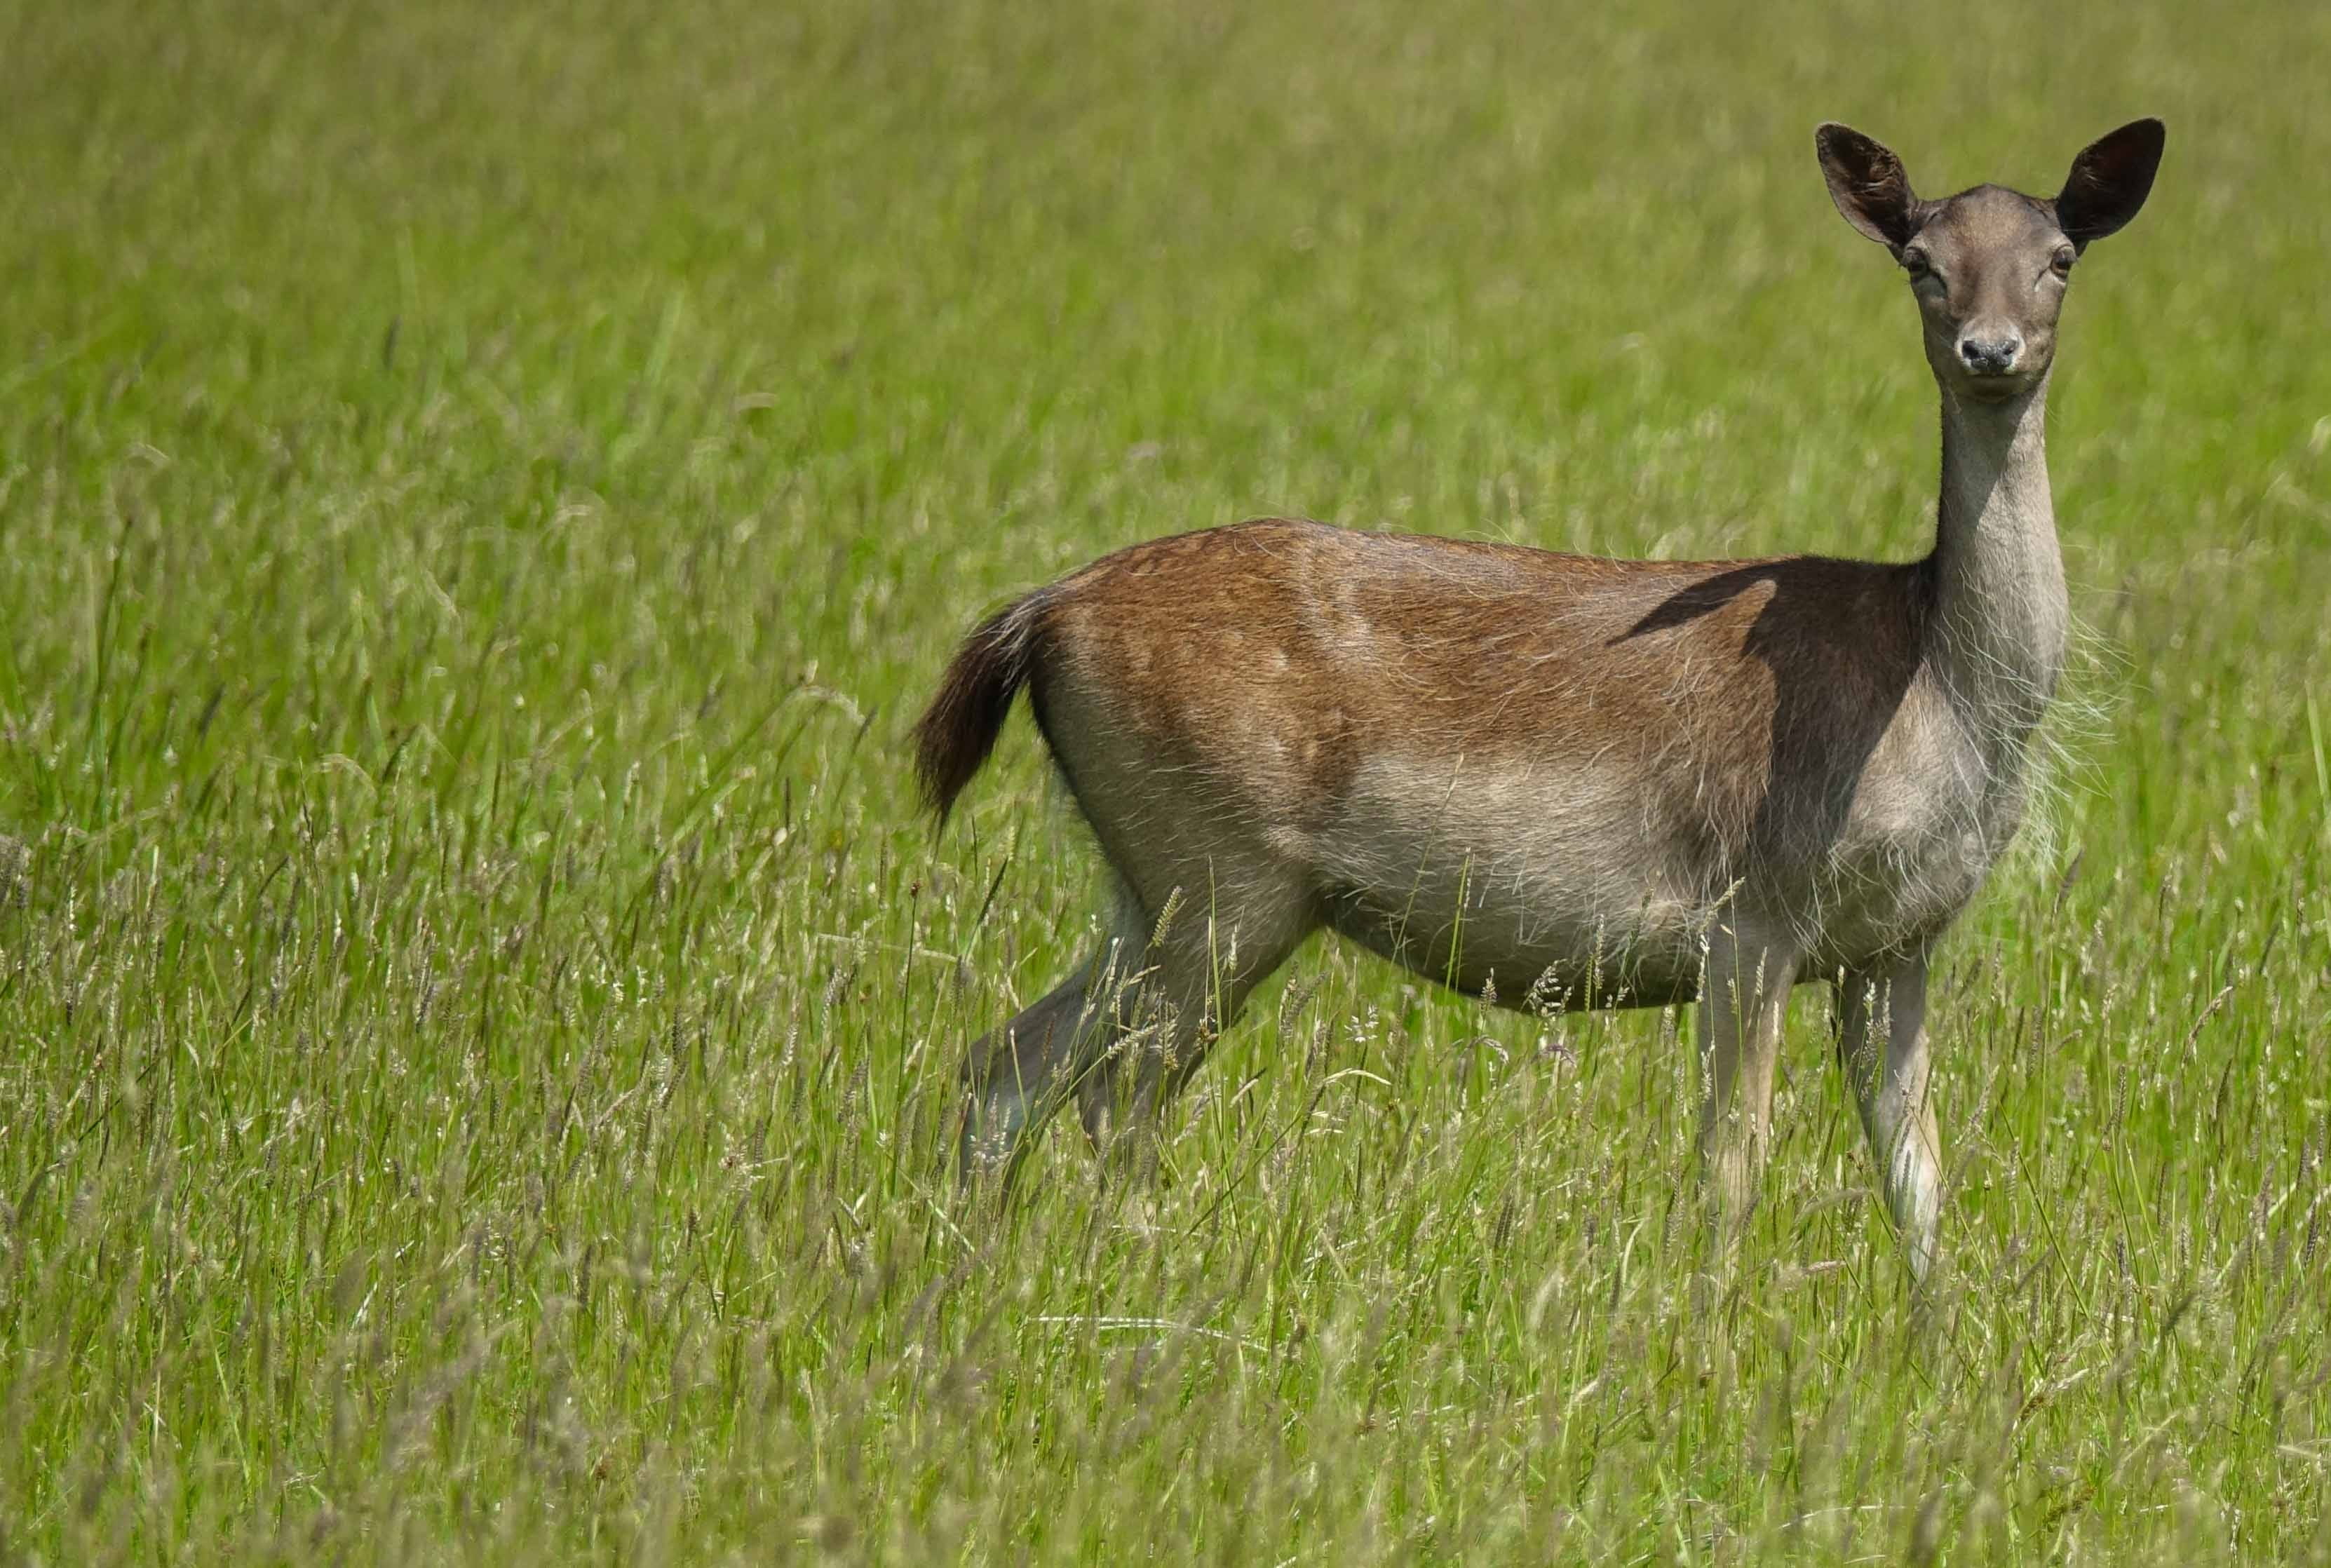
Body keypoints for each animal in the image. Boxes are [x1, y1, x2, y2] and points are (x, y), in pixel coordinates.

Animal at [913, 120, 2163, 1278]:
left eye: (2059, 256)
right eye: (1919, 258)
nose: (1990, 348)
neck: (1935, 700)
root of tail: (1039, 615)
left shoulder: (1898, 944)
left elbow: (1920, 1182)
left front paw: (1934, 1349)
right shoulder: (1750, 910)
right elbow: (1732, 1169)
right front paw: (1708, 1339)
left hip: (1147, 885)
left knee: (1006, 1065)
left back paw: (965, 1274)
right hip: (1223, 873)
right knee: (1113, 1094)